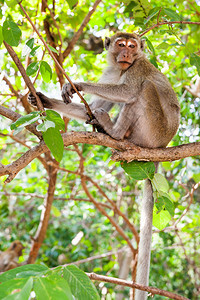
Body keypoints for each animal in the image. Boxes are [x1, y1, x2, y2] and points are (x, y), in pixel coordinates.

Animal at [28, 31, 180, 298]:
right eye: (121, 44)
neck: (122, 68)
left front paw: (78, 84)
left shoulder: (138, 68)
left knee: (142, 90)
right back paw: (107, 128)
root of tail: (162, 147)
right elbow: (96, 105)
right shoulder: (111, 73)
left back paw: (114, 132)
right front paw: (45, 100)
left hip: (153, 131)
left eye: (132, 46)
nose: (127, 53)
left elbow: (128, 91)